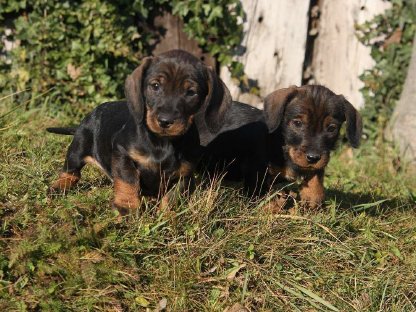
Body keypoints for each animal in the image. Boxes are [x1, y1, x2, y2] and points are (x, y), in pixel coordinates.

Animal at [48, 50, 234, 214]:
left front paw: (167, 216)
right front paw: (126, 207)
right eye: (155, 86)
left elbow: (173, 197)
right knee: (71, 172)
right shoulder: (123, 154)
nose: (165, 121)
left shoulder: (185, 174)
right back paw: (59, 186)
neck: (162, 142)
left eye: (191, 92)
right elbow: (128, 180)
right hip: (78, 147)